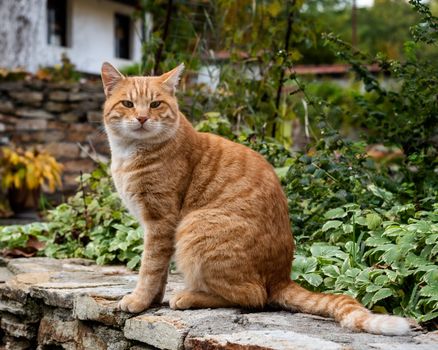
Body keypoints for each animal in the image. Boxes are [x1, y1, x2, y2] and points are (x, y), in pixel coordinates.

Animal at [100, 63, 414, 336]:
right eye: (128, 104)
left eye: (155, 105)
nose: (142, 118)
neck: (129, 153)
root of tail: (281, 277)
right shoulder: (156, 226)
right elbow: (160, 271)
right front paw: (153, 300)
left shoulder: (161, 221)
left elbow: (149, 267)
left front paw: (139, 300)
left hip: (194, 226)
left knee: (254, 296)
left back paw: (188, 296)